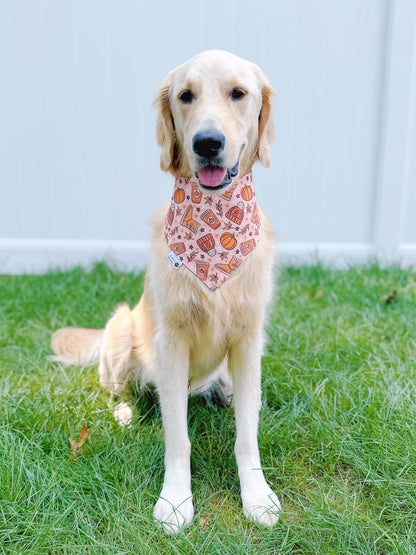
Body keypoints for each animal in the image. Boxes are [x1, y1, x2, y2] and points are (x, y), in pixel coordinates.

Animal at [51, 52, 280, 536]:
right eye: (186, 95)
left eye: (238, 93)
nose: (208, 142)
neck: (214, 223)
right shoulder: (171, 344)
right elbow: (178, 437)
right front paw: (175, 501)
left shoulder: (249, 339)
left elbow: (246, 435)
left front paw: (256, 495)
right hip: (121, 331)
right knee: (116, 390)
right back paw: (124, 412)